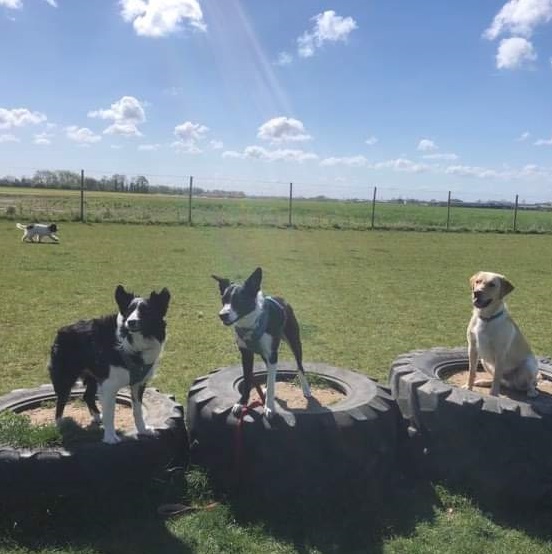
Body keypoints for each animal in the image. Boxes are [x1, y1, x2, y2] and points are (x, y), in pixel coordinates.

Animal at [49, 284, 170, 444]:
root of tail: (62, 330)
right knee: (61, 400)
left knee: (87, 396)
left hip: (94, 376)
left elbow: (137, 410)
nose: (131, 322)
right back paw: (59, 424)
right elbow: (110, 414)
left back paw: (96, 416)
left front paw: (142, 430)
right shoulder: (109, 385)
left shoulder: (138, 384)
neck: (133, 345)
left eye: (146, 311)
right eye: (129, 311)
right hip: (66, 376)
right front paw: (110, 437)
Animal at [211, 266, 310, 416]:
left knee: (299, 366)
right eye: (224, 299)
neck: (250, 323)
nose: (222, 315)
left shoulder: (272, 354)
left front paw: (269, 406)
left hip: (294, 341)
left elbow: (271, 383)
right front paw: (241, 403)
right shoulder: (246, 354)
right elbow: (247, 379)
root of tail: (281, 299)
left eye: (239, 300)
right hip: (265, 354)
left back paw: (306, 389)